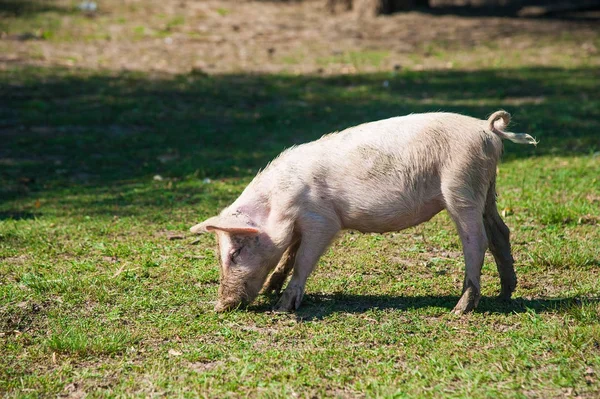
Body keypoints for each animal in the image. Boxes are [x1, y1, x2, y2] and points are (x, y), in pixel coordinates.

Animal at [190, 110, 536, 316]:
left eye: (235, 252)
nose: (220, 305)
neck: (278, 203)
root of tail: (487, 129)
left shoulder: (323, 221)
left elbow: (302, 260)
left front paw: (282, 308)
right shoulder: (300, 226)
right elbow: (288, 254)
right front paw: (271, 289)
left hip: (461, 185)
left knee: (476, 241)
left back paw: (459, 310)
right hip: (487, 187)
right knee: (500, 232)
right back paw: (505, 295)